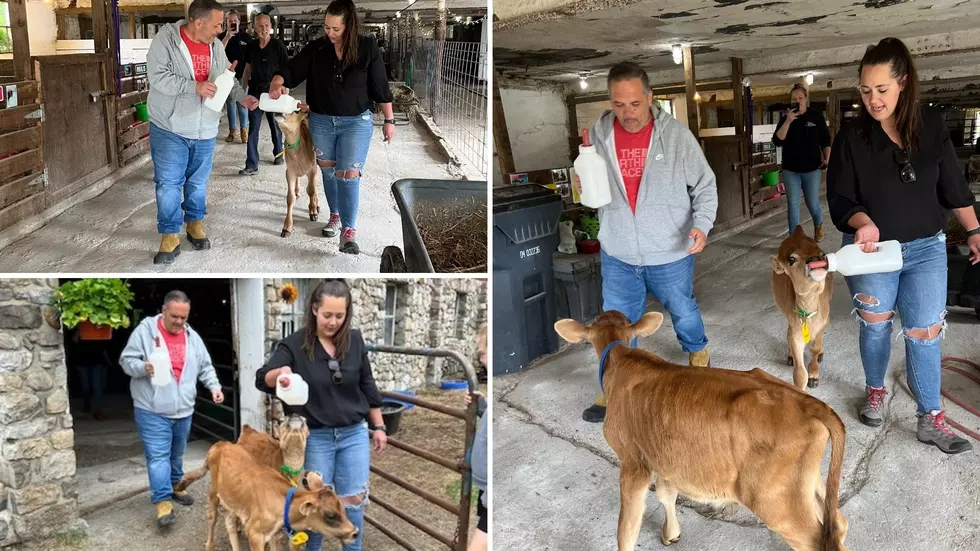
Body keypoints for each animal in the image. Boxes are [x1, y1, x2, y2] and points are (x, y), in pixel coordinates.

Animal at [178, 440, 358, 551]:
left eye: (343, 509)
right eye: (330, 515)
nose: (355, 532)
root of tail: (221, 444)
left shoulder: (274, 535)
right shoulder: (255, 533)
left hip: (231, 499)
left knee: (230, 524)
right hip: (213, 493)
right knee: (212, 518)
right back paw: (209, 545)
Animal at [274, 109, 320, 237]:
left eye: (295, 111)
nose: (278, 111)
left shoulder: (312, 168)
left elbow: (311, 190)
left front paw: (313, 211)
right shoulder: (289, 171)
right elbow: (290, 198)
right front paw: (286, 228)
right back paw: (297, 190)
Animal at [772, 226, 836, 390]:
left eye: (822, 254)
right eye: (791, 259)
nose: (815, 259)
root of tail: (797, 231)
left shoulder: (825, 321)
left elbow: (815, 348)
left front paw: (814, 376)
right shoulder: (795, 327)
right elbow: (799, 374)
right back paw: (789, 356)